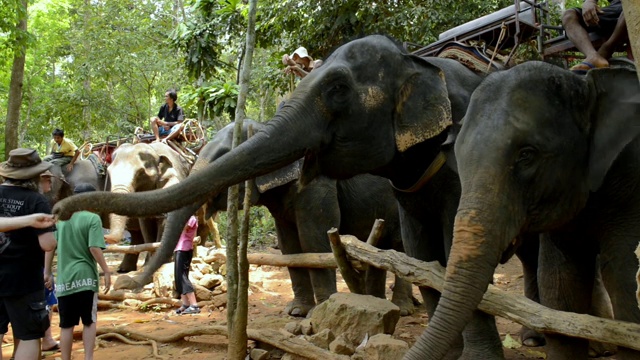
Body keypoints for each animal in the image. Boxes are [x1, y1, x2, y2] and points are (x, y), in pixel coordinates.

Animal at [416, 62, 640, 360]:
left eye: (526, 155)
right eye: (455, 155)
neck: (584, 85)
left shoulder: (631, 186)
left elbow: (624, 279)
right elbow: (559, 286)